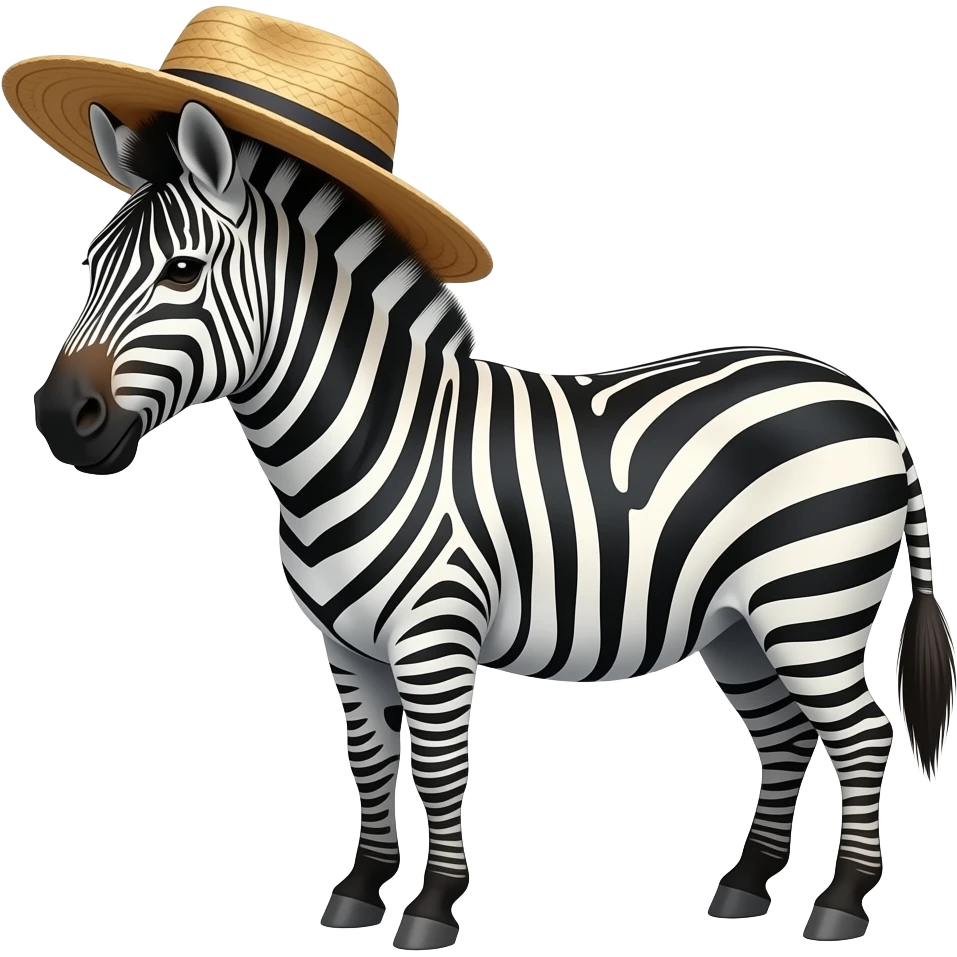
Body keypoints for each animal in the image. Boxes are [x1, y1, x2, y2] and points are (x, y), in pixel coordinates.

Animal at [31, 100, 954, 949]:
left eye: (183, 271)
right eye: (89, 262)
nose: (58, 418)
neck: (366, 436)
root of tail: (868, 402)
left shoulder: (435, 634)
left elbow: (440, 768)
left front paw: (431, 908)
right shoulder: (345, 644)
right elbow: (371, 762)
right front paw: (359, 891)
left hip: (810, 605)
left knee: (862, 735)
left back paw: (839, 904)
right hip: (738, 624)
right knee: (784, 735)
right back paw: (743, 885)